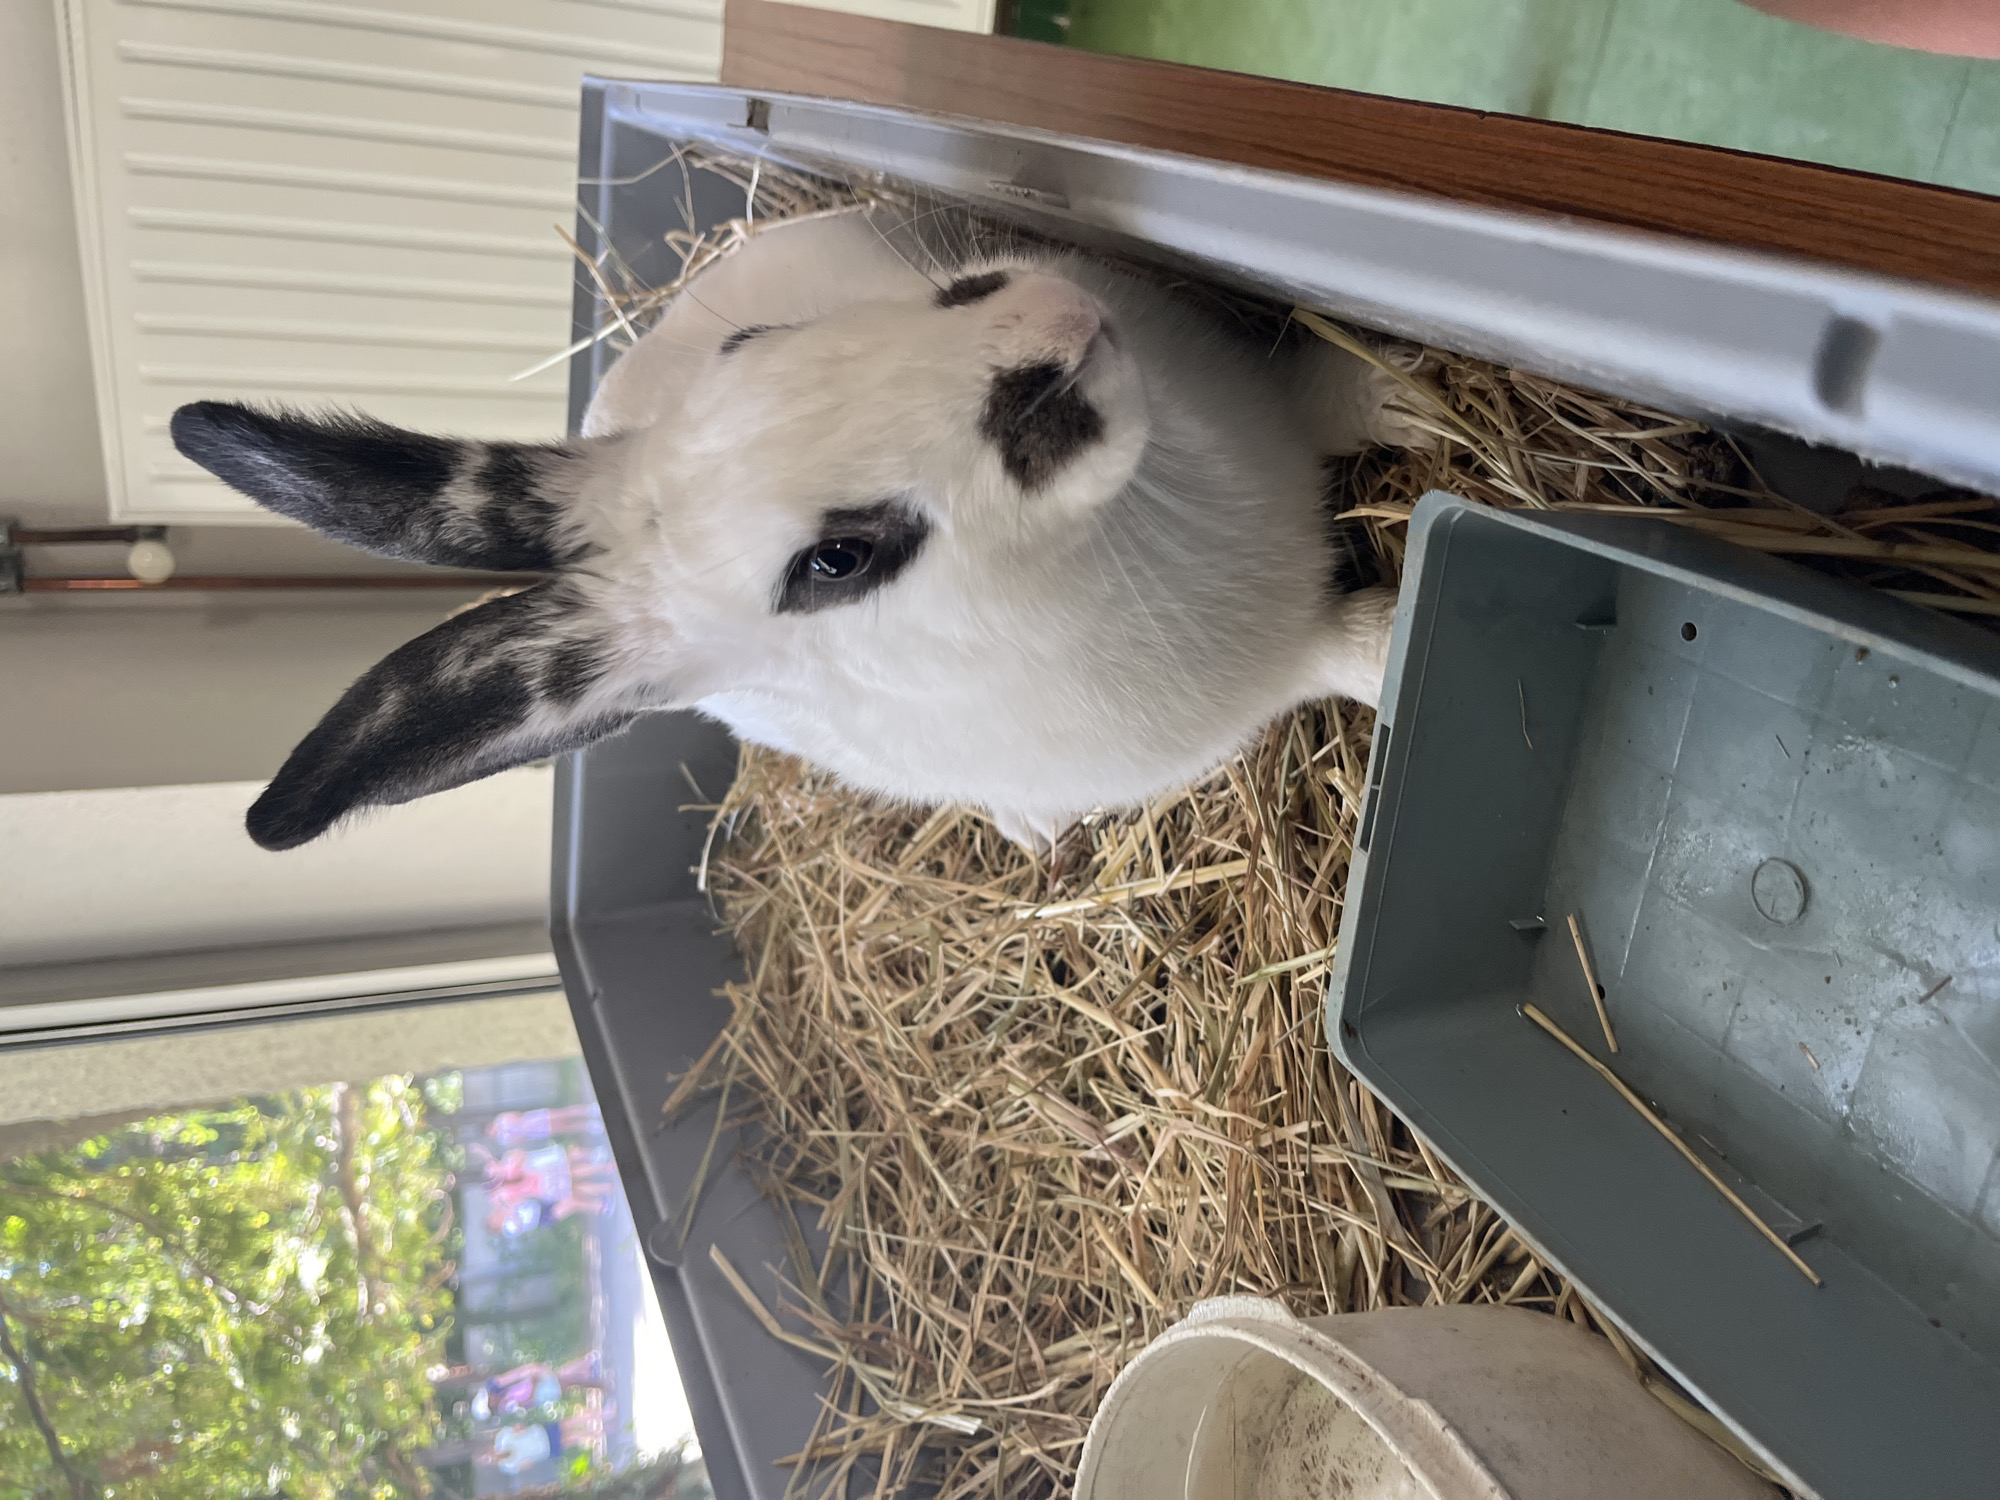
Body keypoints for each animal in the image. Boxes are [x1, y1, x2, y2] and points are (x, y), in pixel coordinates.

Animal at [170, 208, 1423, 853]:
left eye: (754, 342)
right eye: (837, 562)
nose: (1051, 326)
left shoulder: (1270, 403)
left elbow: (1329, 397)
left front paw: (1412, 403)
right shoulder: (1263, 676)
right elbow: (1351, 654)